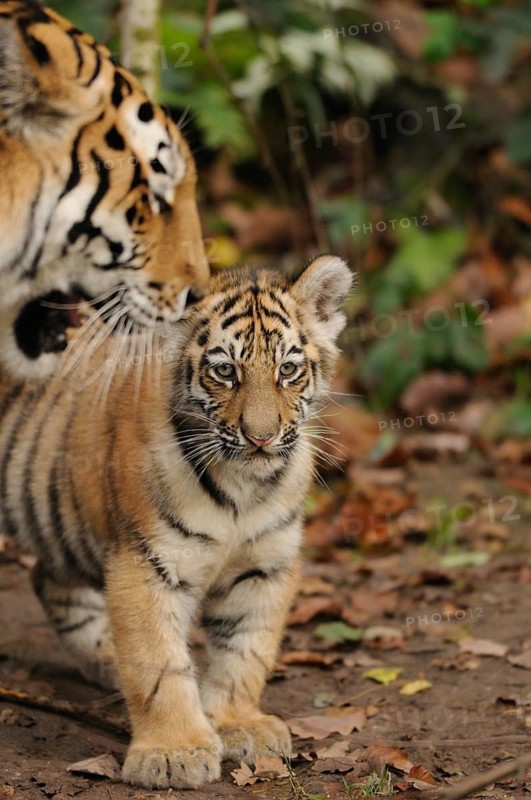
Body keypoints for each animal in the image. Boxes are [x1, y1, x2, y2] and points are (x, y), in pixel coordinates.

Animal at [0, 254, 352, 790]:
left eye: (288, 369)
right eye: (224, 371)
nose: (261, 438)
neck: (243, 486)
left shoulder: (264, 566)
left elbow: (246, 651)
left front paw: (238, 724)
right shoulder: (145, 563)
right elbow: (158, 664)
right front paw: (173, 753)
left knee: (49, 580)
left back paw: (105, 659)